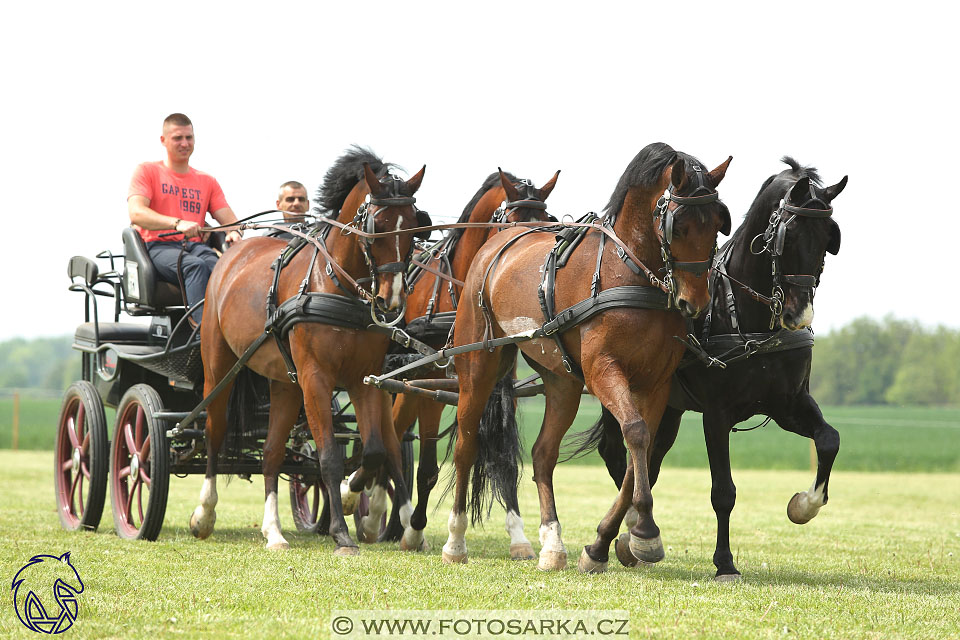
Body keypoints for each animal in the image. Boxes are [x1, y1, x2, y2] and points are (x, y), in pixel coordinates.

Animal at [192, 146, 432, 556]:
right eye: (378, 226)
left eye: (417, 228)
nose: (393, 300)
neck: (336, 284)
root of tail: (235, 250)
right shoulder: (316, 377)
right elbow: (330, 456)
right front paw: (341, 532)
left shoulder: (364, 378)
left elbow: (374, 450)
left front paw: (352, 498)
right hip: (219, 365)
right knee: (215, 430)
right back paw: (205, 514)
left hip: (285, 383)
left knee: (272, 453)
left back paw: (274, 531)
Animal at [368, 168, 560, 552]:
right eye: (510, 222)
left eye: (546, 222)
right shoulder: (430, 380)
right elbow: (427, 467)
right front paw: (415, 529)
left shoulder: (500, 384)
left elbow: (503, 456)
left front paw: (518, 534)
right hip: (406, 381)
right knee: (390, 435)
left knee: (394, 434)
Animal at [444, 141, 736, 568]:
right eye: (679, 226)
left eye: (717, 223)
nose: (694, 303)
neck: (630, 271)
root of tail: (497, 244)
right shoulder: (602, 371)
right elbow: (635, 433)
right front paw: (644, 530)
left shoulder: (655, 384)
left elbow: (640, 447)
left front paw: (610, 541)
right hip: (479, 364)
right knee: (466, 445)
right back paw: (455, 541)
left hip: (562, 381)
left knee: (543, 454)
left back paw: (552, 544)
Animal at [568, 156, 848, 580]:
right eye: (789, 236)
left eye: (828, 239)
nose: (798, 315)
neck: (747, 317)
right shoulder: (717, 414)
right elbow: (723, 492)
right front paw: (725, 563)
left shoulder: (788, 403)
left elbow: (829, 439)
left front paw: (804, 505)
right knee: (620, 453)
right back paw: (627, 530)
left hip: (669, 408)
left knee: (650, 457)